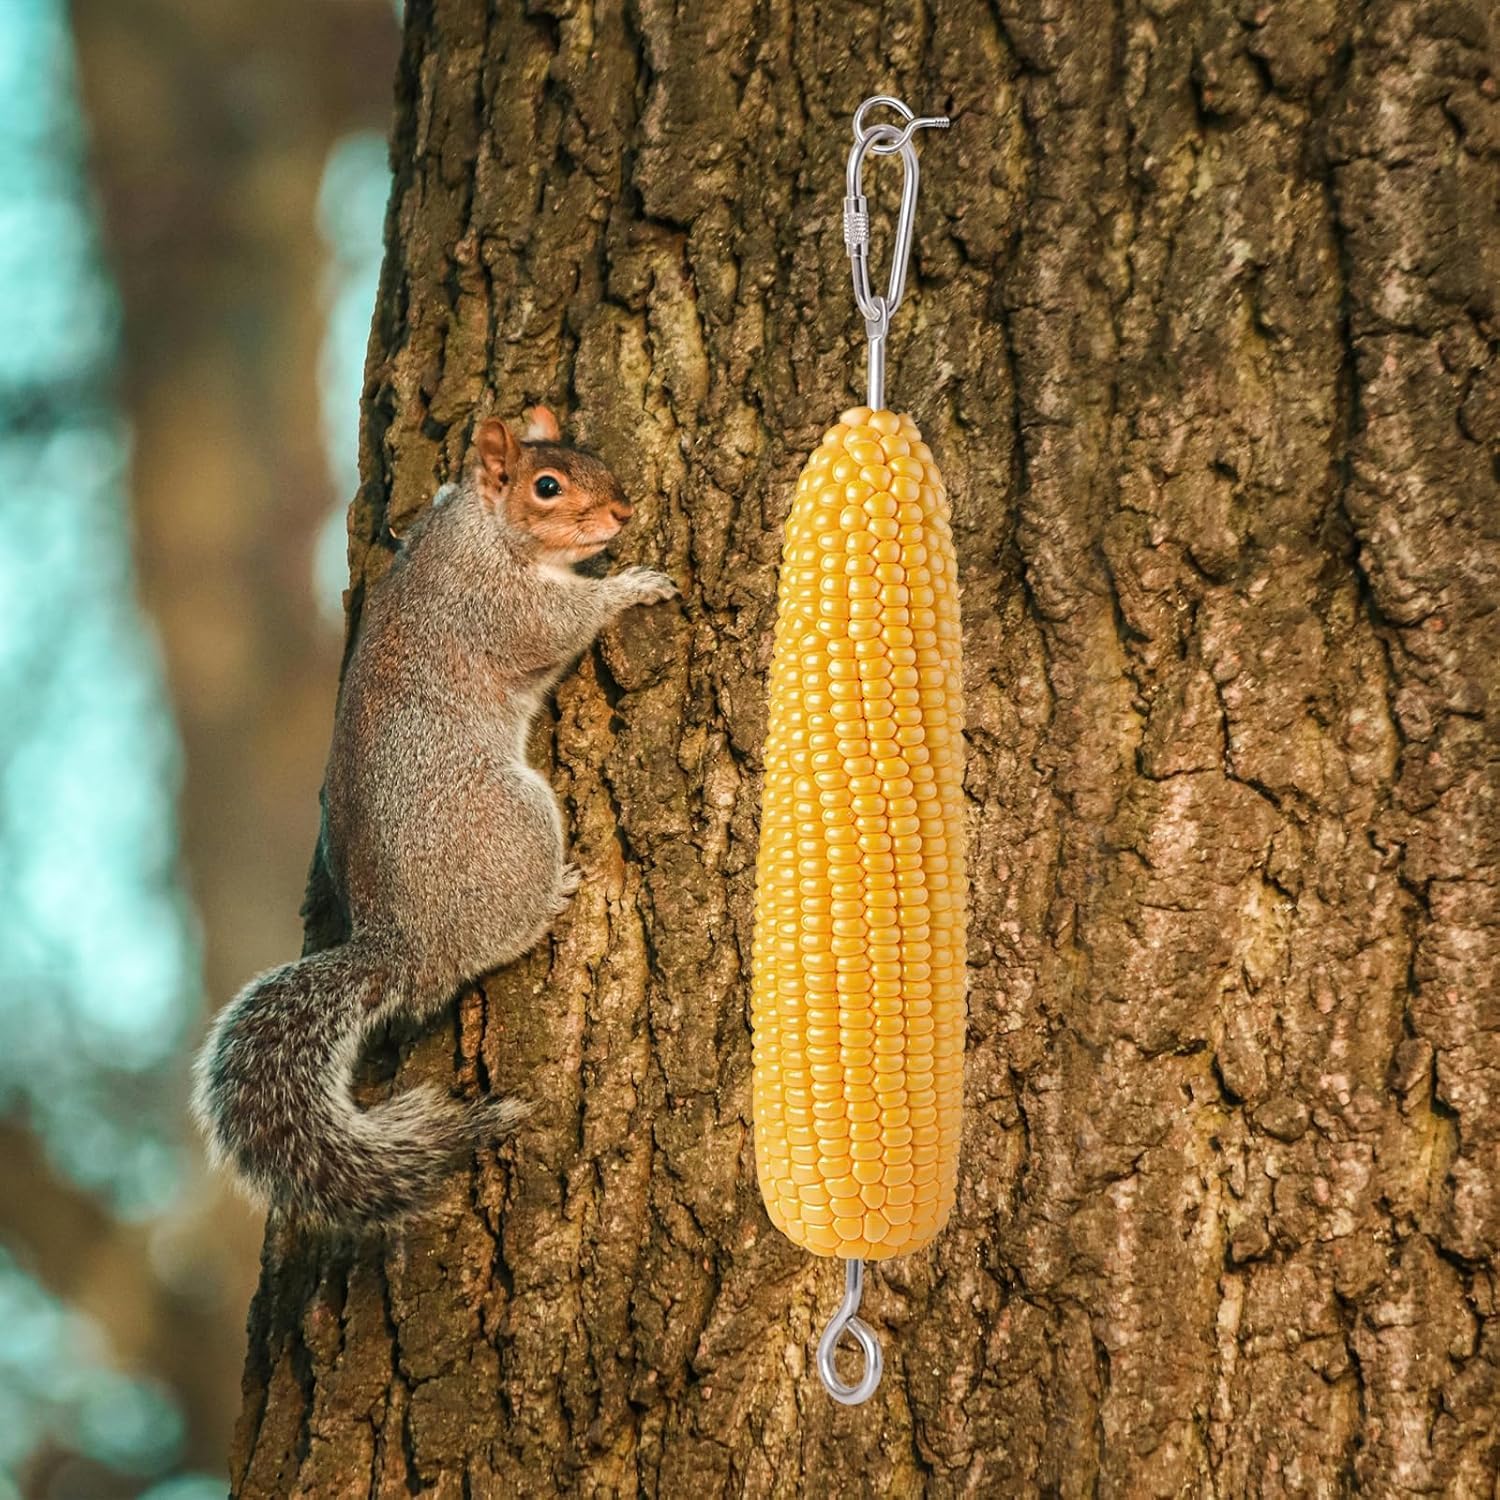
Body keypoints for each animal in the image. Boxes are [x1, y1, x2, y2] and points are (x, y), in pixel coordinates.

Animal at [191, 406, 677, 1229]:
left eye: (589, 455)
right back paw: (552, 898)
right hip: (515, 821)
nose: (622, 513)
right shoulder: (501, 607)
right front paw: (631, 585)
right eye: (547, 487)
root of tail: (404, 944)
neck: (480, 527)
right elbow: (564, 622)